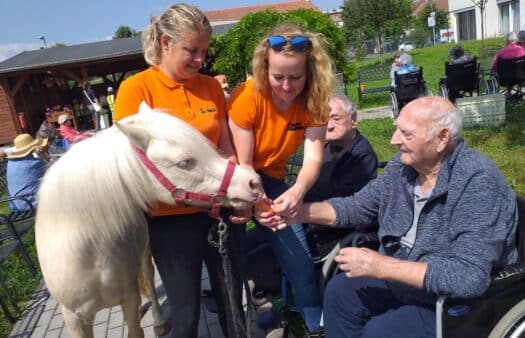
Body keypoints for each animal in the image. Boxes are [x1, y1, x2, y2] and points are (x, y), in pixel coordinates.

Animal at [35, 103, 260, 338]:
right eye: (185, 162)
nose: (253, 182)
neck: (89, 252)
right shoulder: (74, 319)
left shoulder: (130, 299)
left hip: (145, 252)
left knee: (150, 279)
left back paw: (159, 320)